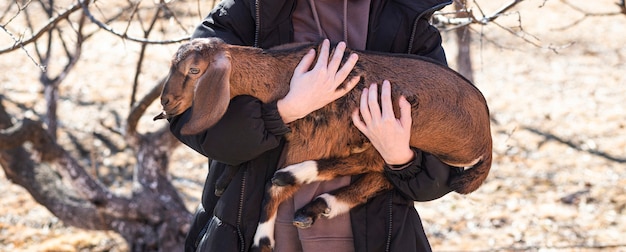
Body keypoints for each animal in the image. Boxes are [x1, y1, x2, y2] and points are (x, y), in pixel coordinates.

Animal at [156, 38, 492, 252]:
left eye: (194, 70)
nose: (166, 101)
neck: (281, 73)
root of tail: (486, 139)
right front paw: (223, 181)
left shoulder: (310, 136)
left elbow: (274, 188)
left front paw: (263, 241)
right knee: (380, 175)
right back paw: (319, 206)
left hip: (403, 131)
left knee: (372, 166)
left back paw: (301, 186)